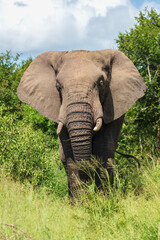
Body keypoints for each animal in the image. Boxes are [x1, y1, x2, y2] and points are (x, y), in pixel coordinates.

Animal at [16, 48, 146, 199]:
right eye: (58, 86)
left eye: (101, 83)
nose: (88, 178)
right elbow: (68, 152)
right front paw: (80, 203)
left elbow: (103, 149)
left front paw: (103, 201)